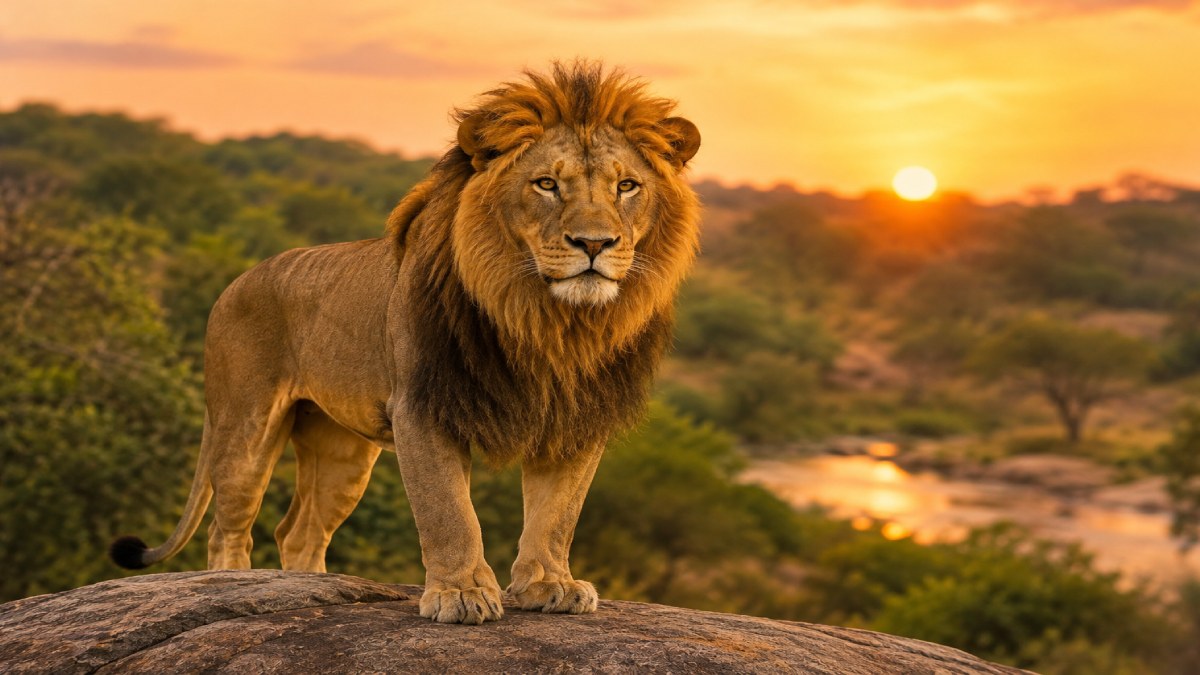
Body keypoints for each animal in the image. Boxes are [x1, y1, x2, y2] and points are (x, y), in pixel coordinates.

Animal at [109, 62, 701, 625]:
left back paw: (315, 588)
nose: (594, 243)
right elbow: (449, 512)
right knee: (230, 525)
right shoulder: (424, 407)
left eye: (627, 187)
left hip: (341, 450)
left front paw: (548, 584)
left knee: (298, 531)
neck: (550, 322)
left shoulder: (575, 418)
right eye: (546, 185)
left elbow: (557, 513)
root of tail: (235, 282)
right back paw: (236, 586)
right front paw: (461, 594)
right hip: (246, 424)